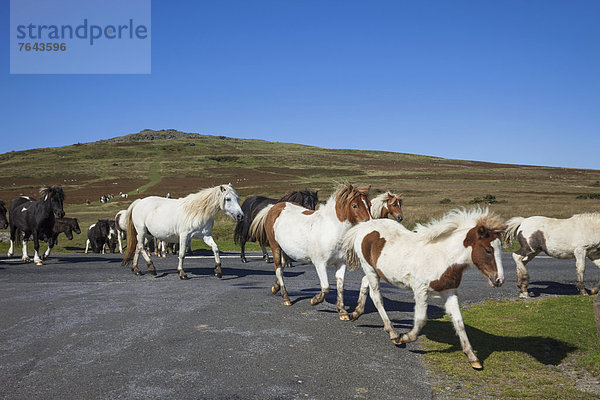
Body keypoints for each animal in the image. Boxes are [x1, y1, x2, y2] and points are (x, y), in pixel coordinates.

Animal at [247, 184, 370, 318]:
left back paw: (276, 287)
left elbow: (340, 286)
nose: (369, 224)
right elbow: (326, 287)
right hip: (276, 247)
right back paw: (286, 298)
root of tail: (273, 208)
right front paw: (315, 300)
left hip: (285, 250)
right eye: (355, 205)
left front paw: (342, 312)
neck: (330, 229)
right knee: (278, 269)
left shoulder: (340, 263)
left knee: (282, 266)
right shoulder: (320, 264)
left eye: (369, 204)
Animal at [342, 208, 506, 370]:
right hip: (369, 268)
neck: (442, 257)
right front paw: (405, 337)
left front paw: (473, 358)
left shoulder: (449, 291)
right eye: (488, 250)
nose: (499, 280)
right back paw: (393, 334)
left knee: (364, 283)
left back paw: (356, 313)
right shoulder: (420, 290)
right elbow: (421, 319)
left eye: (500, 248)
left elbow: (459, 321)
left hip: (375, 271)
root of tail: (365, 225)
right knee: (376, 297)